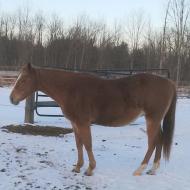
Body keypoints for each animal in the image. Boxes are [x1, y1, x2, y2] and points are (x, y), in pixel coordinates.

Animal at [9, 64, 177, 177]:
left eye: (24, 79)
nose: (12, 99)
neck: (71, 89)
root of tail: (169, 83)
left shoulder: (83, 123)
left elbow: (88, 144)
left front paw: (90, 169)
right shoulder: (75, 123)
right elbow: (79, 145)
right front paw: (78, 167)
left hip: (152, 119)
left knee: (152, 142)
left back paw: (140, 169)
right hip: (155, 120)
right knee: (160, 139)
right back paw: (153, 169)